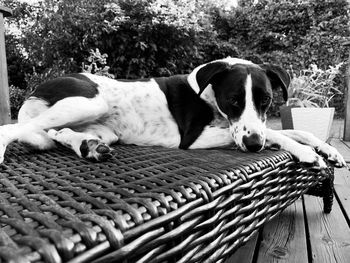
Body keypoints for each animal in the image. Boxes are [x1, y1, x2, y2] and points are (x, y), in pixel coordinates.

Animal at [0, 58, 346, 169]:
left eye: (265, 101)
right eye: (233, 101)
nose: (253, 147)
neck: (210, 97)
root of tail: (36, 88)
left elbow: (294, 129)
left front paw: (327, 150)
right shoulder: (193, 138)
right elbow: (276, 132)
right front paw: (305, 153)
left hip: (102, 128)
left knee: (58, 134)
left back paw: (89, 147)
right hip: (89, 102)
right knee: (11, 129)